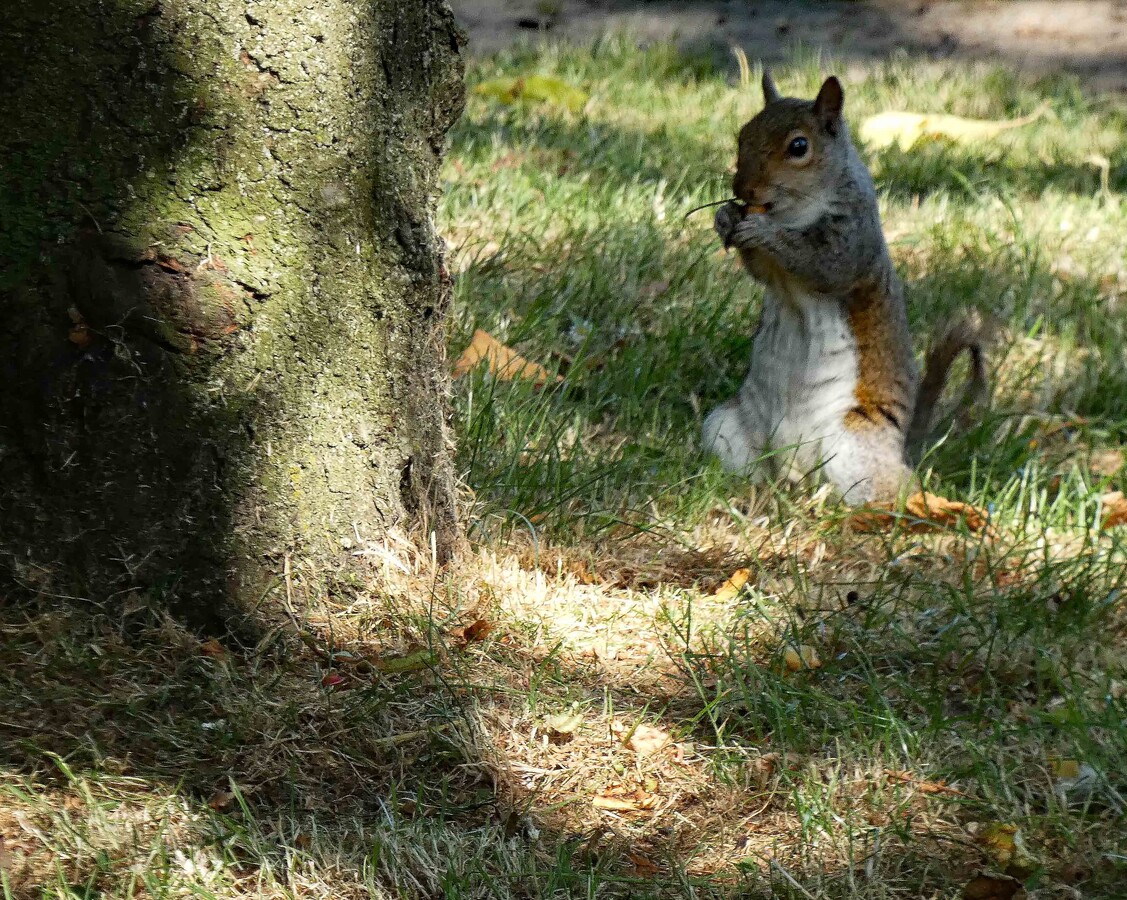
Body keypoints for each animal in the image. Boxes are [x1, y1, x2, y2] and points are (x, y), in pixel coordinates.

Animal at [703, 71, 988, 504]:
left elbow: (824, 264)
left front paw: (763, 231)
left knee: (892, 489)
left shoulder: (855, 235)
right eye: (743, 133)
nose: (743, 189)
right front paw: (724, 216)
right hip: (725, 428)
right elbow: (761, 271)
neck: (795, 212)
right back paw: (757, 493)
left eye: (799, 146)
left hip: (852, 442)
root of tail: (793, 471)